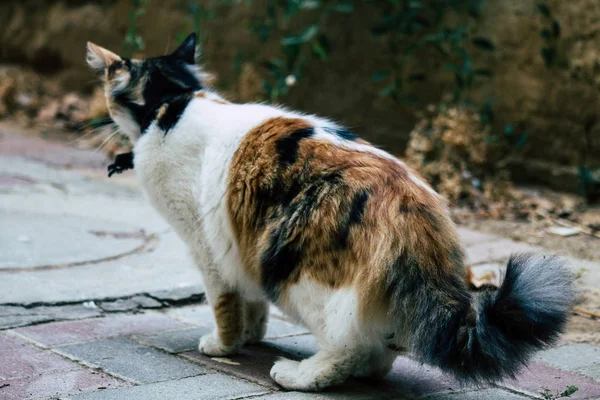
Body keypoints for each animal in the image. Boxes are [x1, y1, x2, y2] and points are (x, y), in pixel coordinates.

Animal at [88, 33, 572, 390]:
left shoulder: (207, 246)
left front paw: (225, 344)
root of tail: (410, 202)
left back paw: (300, 374)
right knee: (379, 347)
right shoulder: (237, 242)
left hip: (301, 275)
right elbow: (251, 301)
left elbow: (224, 303)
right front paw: (251, 334)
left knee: (347, 345)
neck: (174, 104)